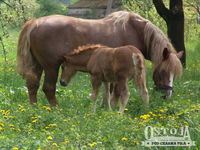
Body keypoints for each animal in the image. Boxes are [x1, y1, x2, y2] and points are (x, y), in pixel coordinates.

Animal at [17, 11, 183, 106]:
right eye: (163, 71)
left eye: (175, 74)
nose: (167, 95)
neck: (136, 31)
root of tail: (35, 22)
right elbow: (115, 91)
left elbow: (108, 90)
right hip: (51, 67)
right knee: (49, 88)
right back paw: (56, 109)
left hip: (38, 65)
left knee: (32, 86)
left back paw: (35, 109)